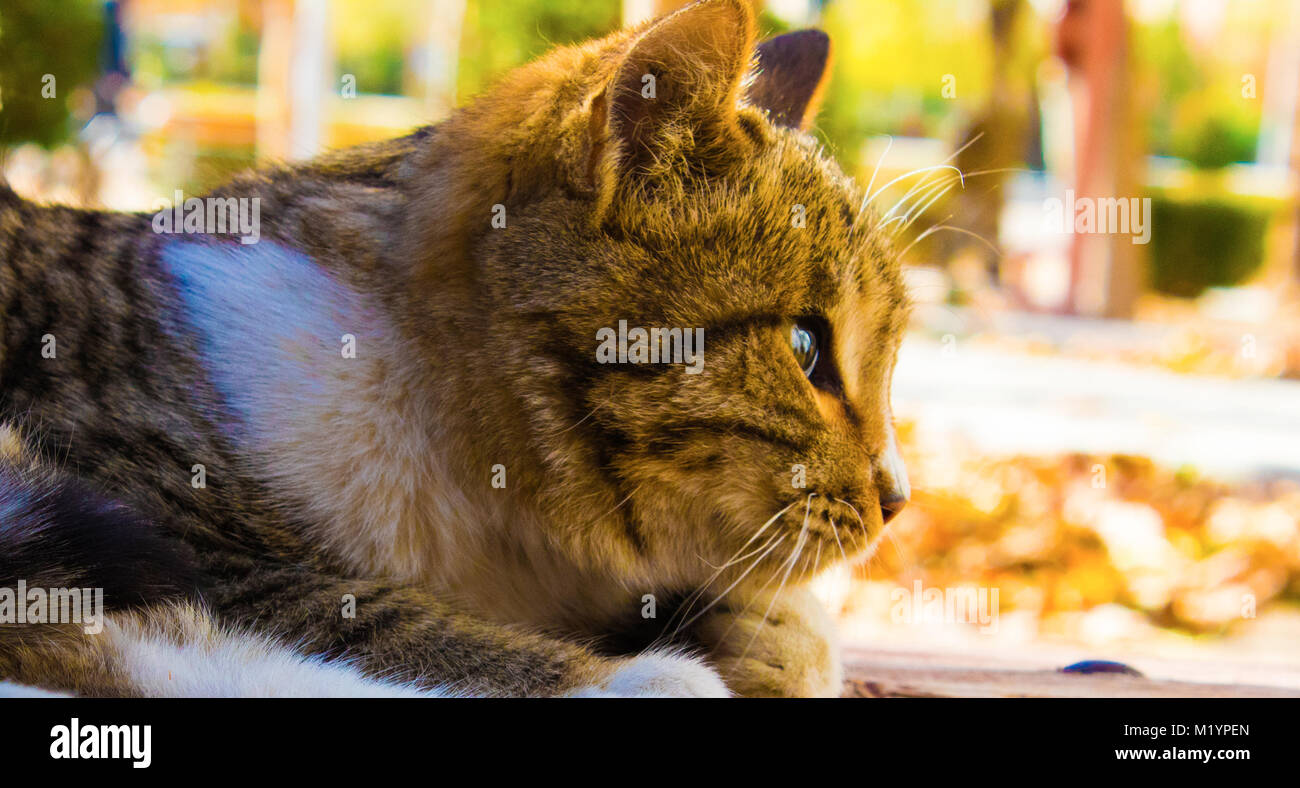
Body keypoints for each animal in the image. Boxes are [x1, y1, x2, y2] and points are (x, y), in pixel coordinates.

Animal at [0, 1, 909, 702]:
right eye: (806, 347)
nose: (898, 498)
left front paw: (764, 630)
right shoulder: (180, 533)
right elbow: (376, 618)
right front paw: (636, 671)